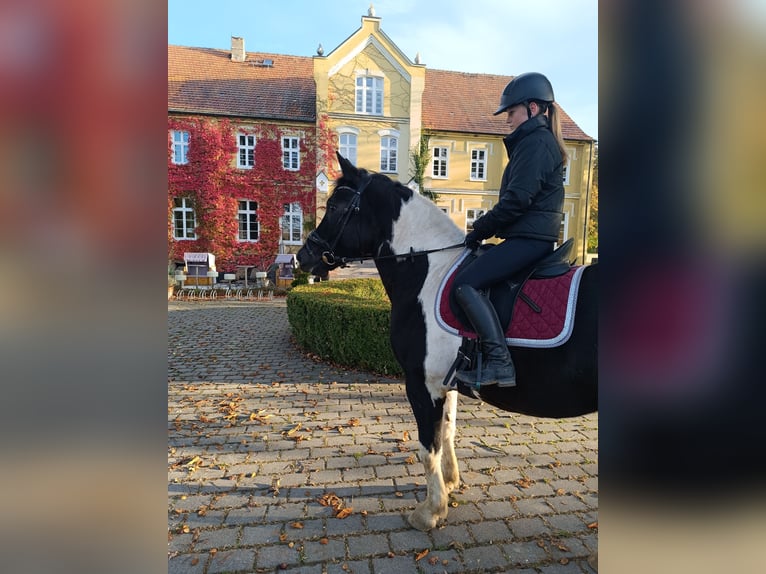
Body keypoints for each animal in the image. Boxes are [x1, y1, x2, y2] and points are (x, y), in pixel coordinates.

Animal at [297, 153, 597, 531]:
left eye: (335, 206)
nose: (302, 256)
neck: (429, 270)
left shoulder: (420, 384)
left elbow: (429, 445)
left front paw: (431, 510)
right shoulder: (446, 381)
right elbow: (449, 432)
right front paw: (451, 482)